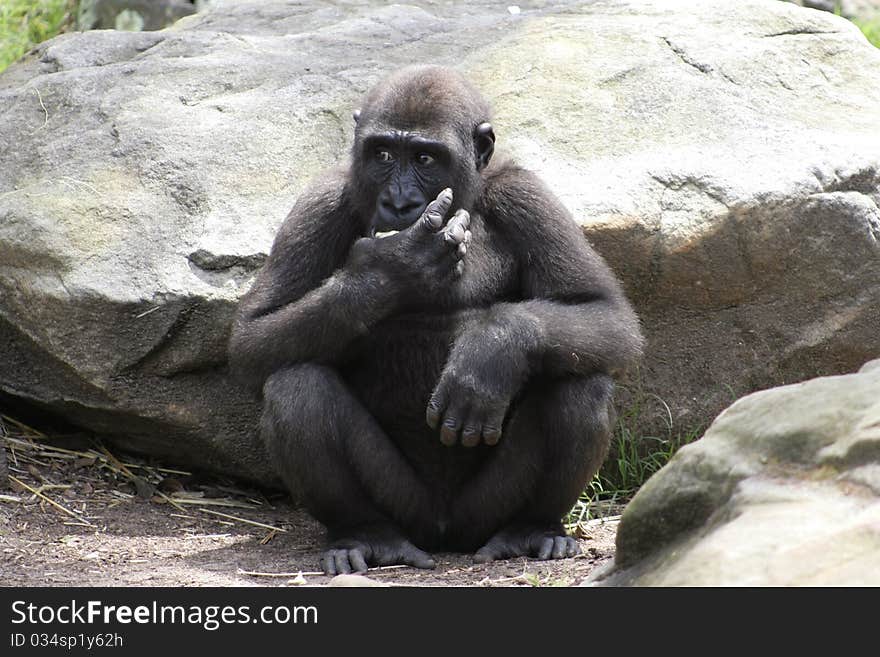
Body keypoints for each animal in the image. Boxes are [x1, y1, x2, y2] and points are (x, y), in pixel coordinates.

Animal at [227, 64, 644, 572]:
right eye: (383, 153)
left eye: (426, 158)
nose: (400, 203)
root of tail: (444, 534)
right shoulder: (322, 201)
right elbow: (254, 337)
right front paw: (393, 269)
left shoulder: (525, 195)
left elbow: (606, 314)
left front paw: (493, 348)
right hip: (408, 509)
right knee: (296, 387)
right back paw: (365, 532)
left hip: (480, 515)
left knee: (580, 384)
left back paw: (531, 528)